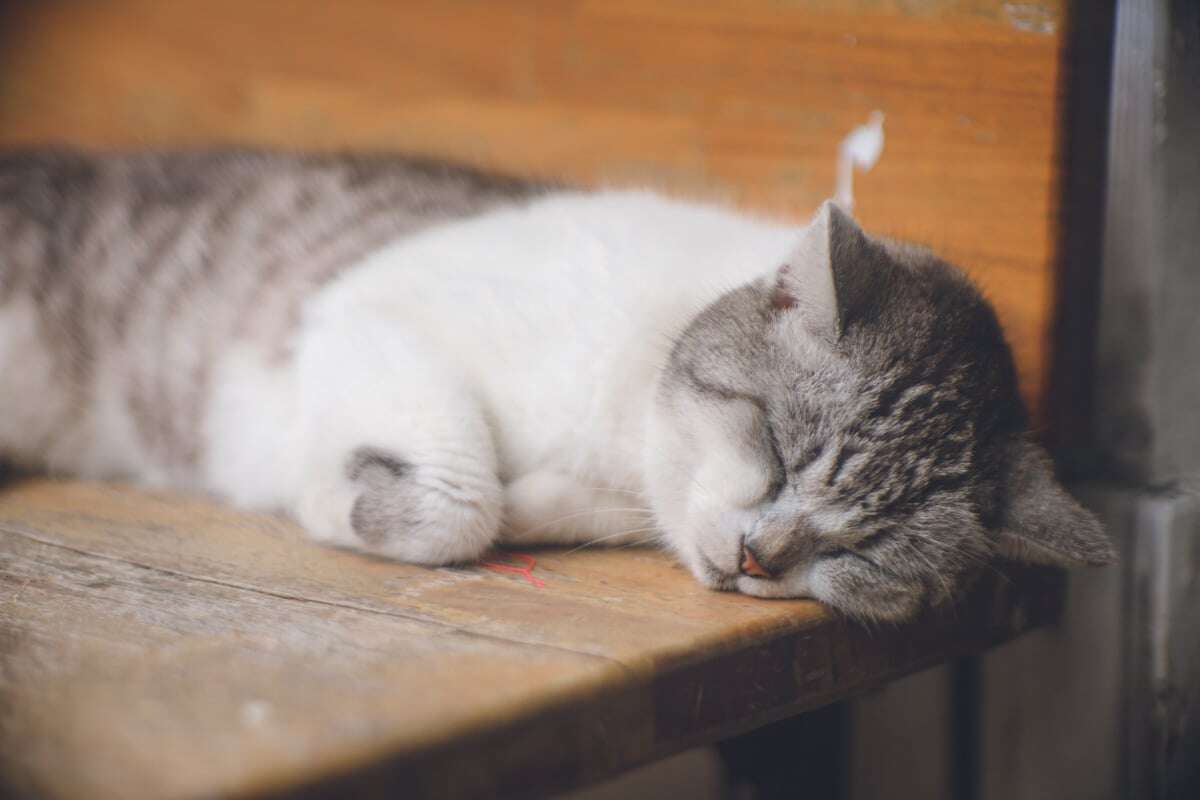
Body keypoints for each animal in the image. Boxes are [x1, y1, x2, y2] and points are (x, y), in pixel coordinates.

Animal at [0, 151, 1113, 623]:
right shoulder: (368, 304)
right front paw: (338, 497)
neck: (619, 434)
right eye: (777, 450)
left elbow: (503, 505)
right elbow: (459, 501)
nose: (758, 558)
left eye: (866, 553)